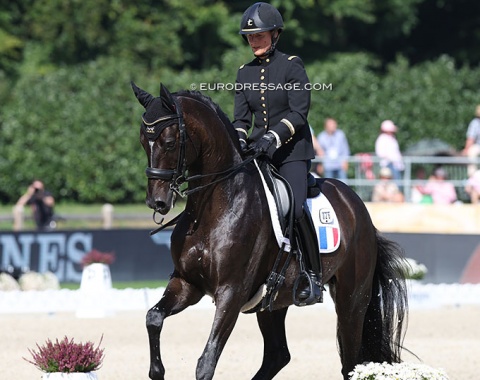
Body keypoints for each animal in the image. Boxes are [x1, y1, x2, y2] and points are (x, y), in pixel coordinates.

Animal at [132, 81, 408, 378]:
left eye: (170, 143)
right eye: (143, 142)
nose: (157, 202)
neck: (211, 208)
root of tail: (357, 204)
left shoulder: (231, 292)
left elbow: (206, 362)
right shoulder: (187, 283)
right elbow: (153, 317)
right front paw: (157, 370)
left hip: (352, 300)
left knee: (350, 362)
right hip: (273, 302)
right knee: (278, 355)